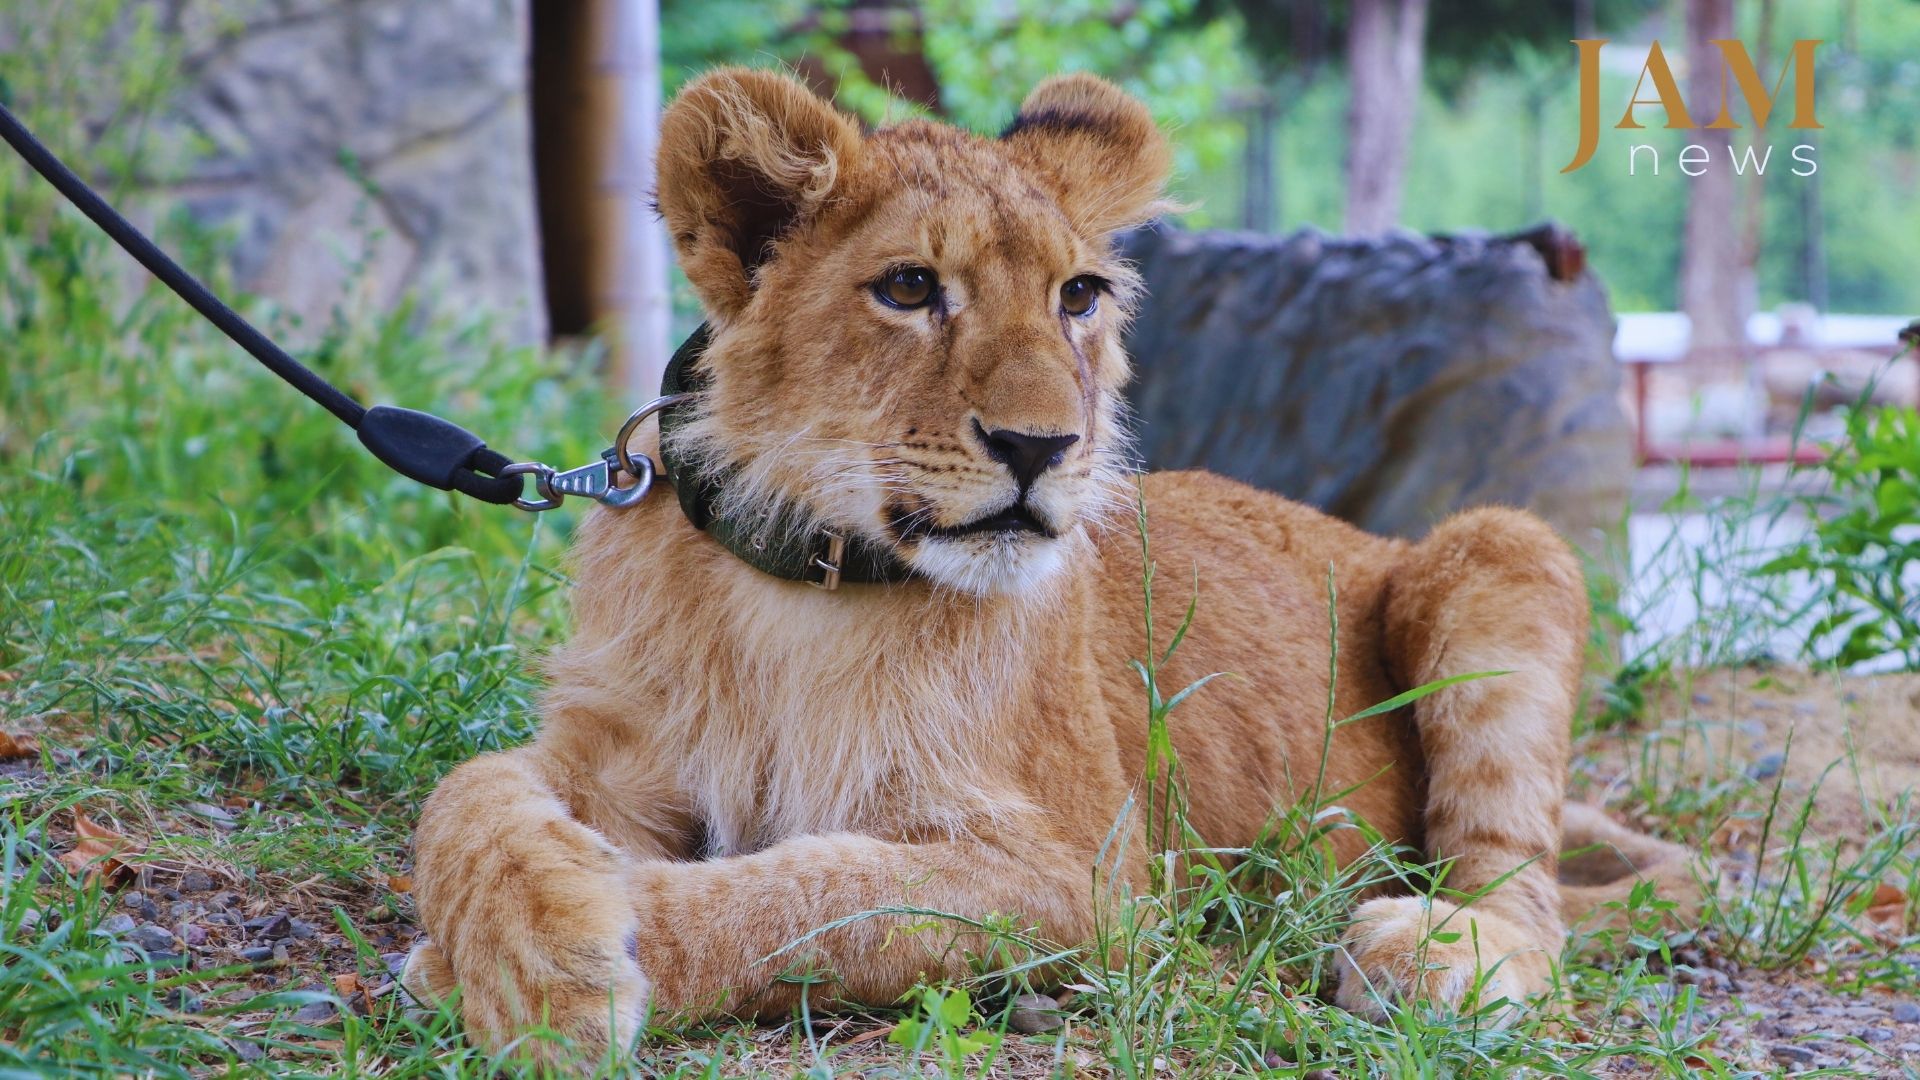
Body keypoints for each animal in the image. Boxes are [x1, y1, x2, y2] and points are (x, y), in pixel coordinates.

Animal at [401, 67, 1693, 1056]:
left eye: (1078, 296)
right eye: (910, 287)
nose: (1041, 447)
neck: (799, 579)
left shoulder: (1088, 872)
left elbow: (827, 894)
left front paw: (562, 959)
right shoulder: (611, 754)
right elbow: (465, 793)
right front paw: (518, 942)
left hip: (1499, 543)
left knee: (1526, 891)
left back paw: (1432, 949)